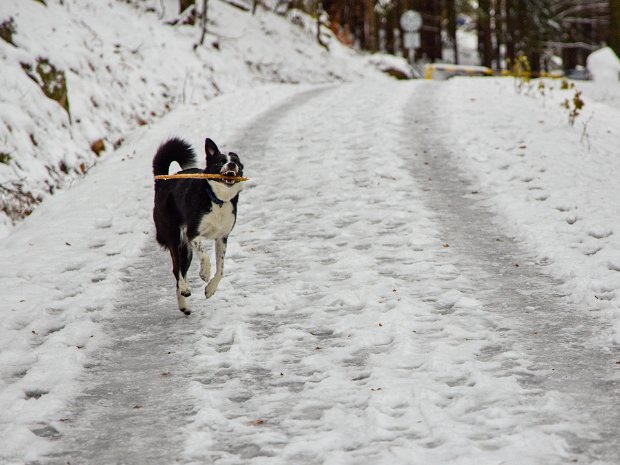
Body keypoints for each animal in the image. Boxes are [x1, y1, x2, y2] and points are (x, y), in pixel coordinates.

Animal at [153, 136, 245, 314]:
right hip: (175, 237)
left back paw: (184, 305)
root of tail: (162, 181)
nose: (232, 165)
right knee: (176, 269)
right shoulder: (193, 234)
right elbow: (205, 255)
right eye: (220, 161)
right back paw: (184, 289)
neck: (218, 200)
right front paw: (204, 273)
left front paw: (210, 289)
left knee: (181, 270)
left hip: (186, 250)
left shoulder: (222, 237)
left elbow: (221, 268)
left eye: (236, 161)